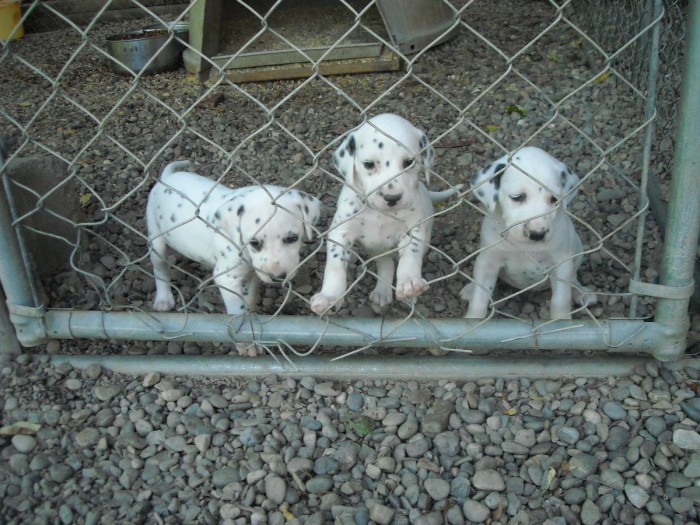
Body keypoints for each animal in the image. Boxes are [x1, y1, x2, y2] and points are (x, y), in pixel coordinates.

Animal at [148, 158, 322, 350]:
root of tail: (167, 177)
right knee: (159, 269)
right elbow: (237, 311)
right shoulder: (227, 279)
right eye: (254, 243)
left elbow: (250, 299)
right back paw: (163, 299)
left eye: (292, 238)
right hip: (156, 240)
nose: (277, 277)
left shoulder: (252, 274)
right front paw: (246, 344)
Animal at [310, 112, 460, 314]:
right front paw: (329, 296)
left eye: (408, 162)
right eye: (368, 164)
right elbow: (335, 265)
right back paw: (382, 291)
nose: (392, 197)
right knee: (385, 264)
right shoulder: (341, 232)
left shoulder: (412, 230)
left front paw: (409, 282)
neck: (380, 212)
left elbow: (411, 254)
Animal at [462, 147, 600, 320]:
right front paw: (473, 319)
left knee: (573, 278)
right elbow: (479, 298)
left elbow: (561, 300)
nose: (537, 234)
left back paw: (580, 291)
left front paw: (562, 321)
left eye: (554, 199)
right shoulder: (489, 261)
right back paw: (470, 288)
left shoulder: (561, 265)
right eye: (516, 197)